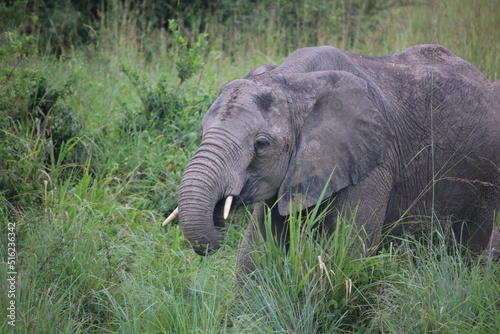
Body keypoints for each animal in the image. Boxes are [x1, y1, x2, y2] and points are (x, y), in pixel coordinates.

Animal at [165, 43, 500, 274]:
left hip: (486, 177)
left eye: (261, 144)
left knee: (470, 246)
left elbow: (347, 252)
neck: (293, 80)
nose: (218, 215)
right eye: (202, 131)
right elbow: (256, 253)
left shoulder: (374, 160)